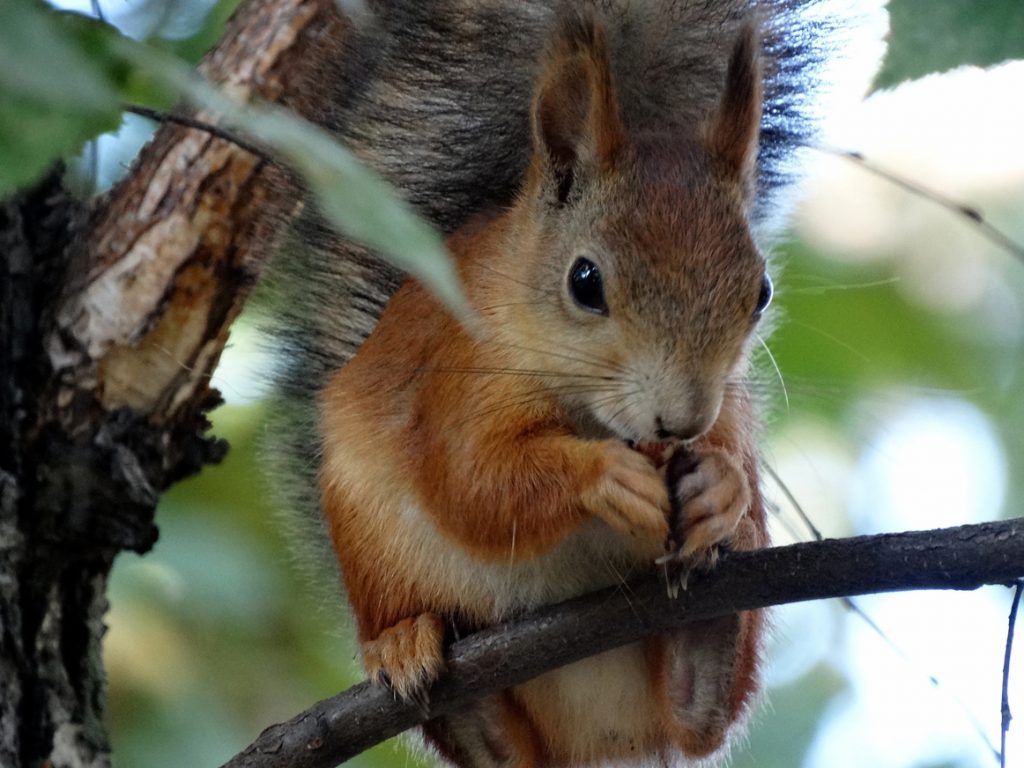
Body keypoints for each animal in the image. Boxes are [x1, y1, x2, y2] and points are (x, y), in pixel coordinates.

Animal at [266, 1, 856, 768]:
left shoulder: (728, 406)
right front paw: (606, 477)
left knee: (700, 718)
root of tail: (600, 740)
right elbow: (475, 481)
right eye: (585, 281)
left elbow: (731, 456)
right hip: (370, 546)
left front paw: (720, 486)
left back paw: (711, 622)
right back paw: (412, 650)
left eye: (760, 292)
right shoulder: (455, 377)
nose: (681, 421)